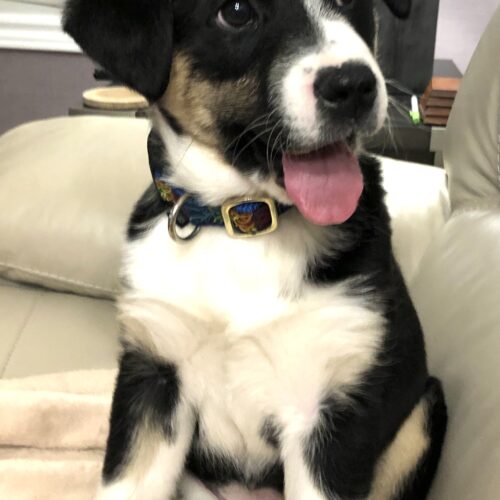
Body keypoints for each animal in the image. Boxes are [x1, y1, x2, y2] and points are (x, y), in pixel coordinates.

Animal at [64, 0, 447, 498]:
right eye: (236, 12)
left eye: (352, 3)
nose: (353, 86)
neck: (244, 223)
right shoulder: (152, 375)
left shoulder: (331, 405)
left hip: (422, 410)